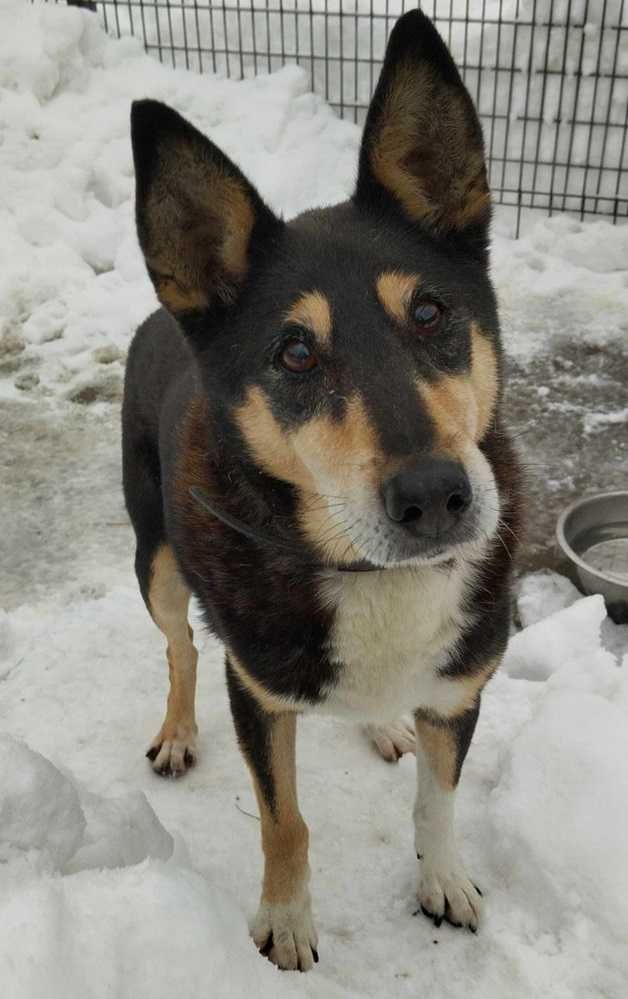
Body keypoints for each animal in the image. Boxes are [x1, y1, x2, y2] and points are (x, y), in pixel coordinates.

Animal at [122, 11, 524, 972]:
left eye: (431, 312)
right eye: (296, 352)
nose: (436, 496)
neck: (373, 578)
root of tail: (163, 312)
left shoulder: (461, 683)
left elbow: (438, 797)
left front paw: (444, 879)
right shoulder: (259, 694)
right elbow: (284, 821)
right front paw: (286, 920)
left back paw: (382, 724)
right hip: (155, 559)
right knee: (180, 648)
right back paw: (180, 730)